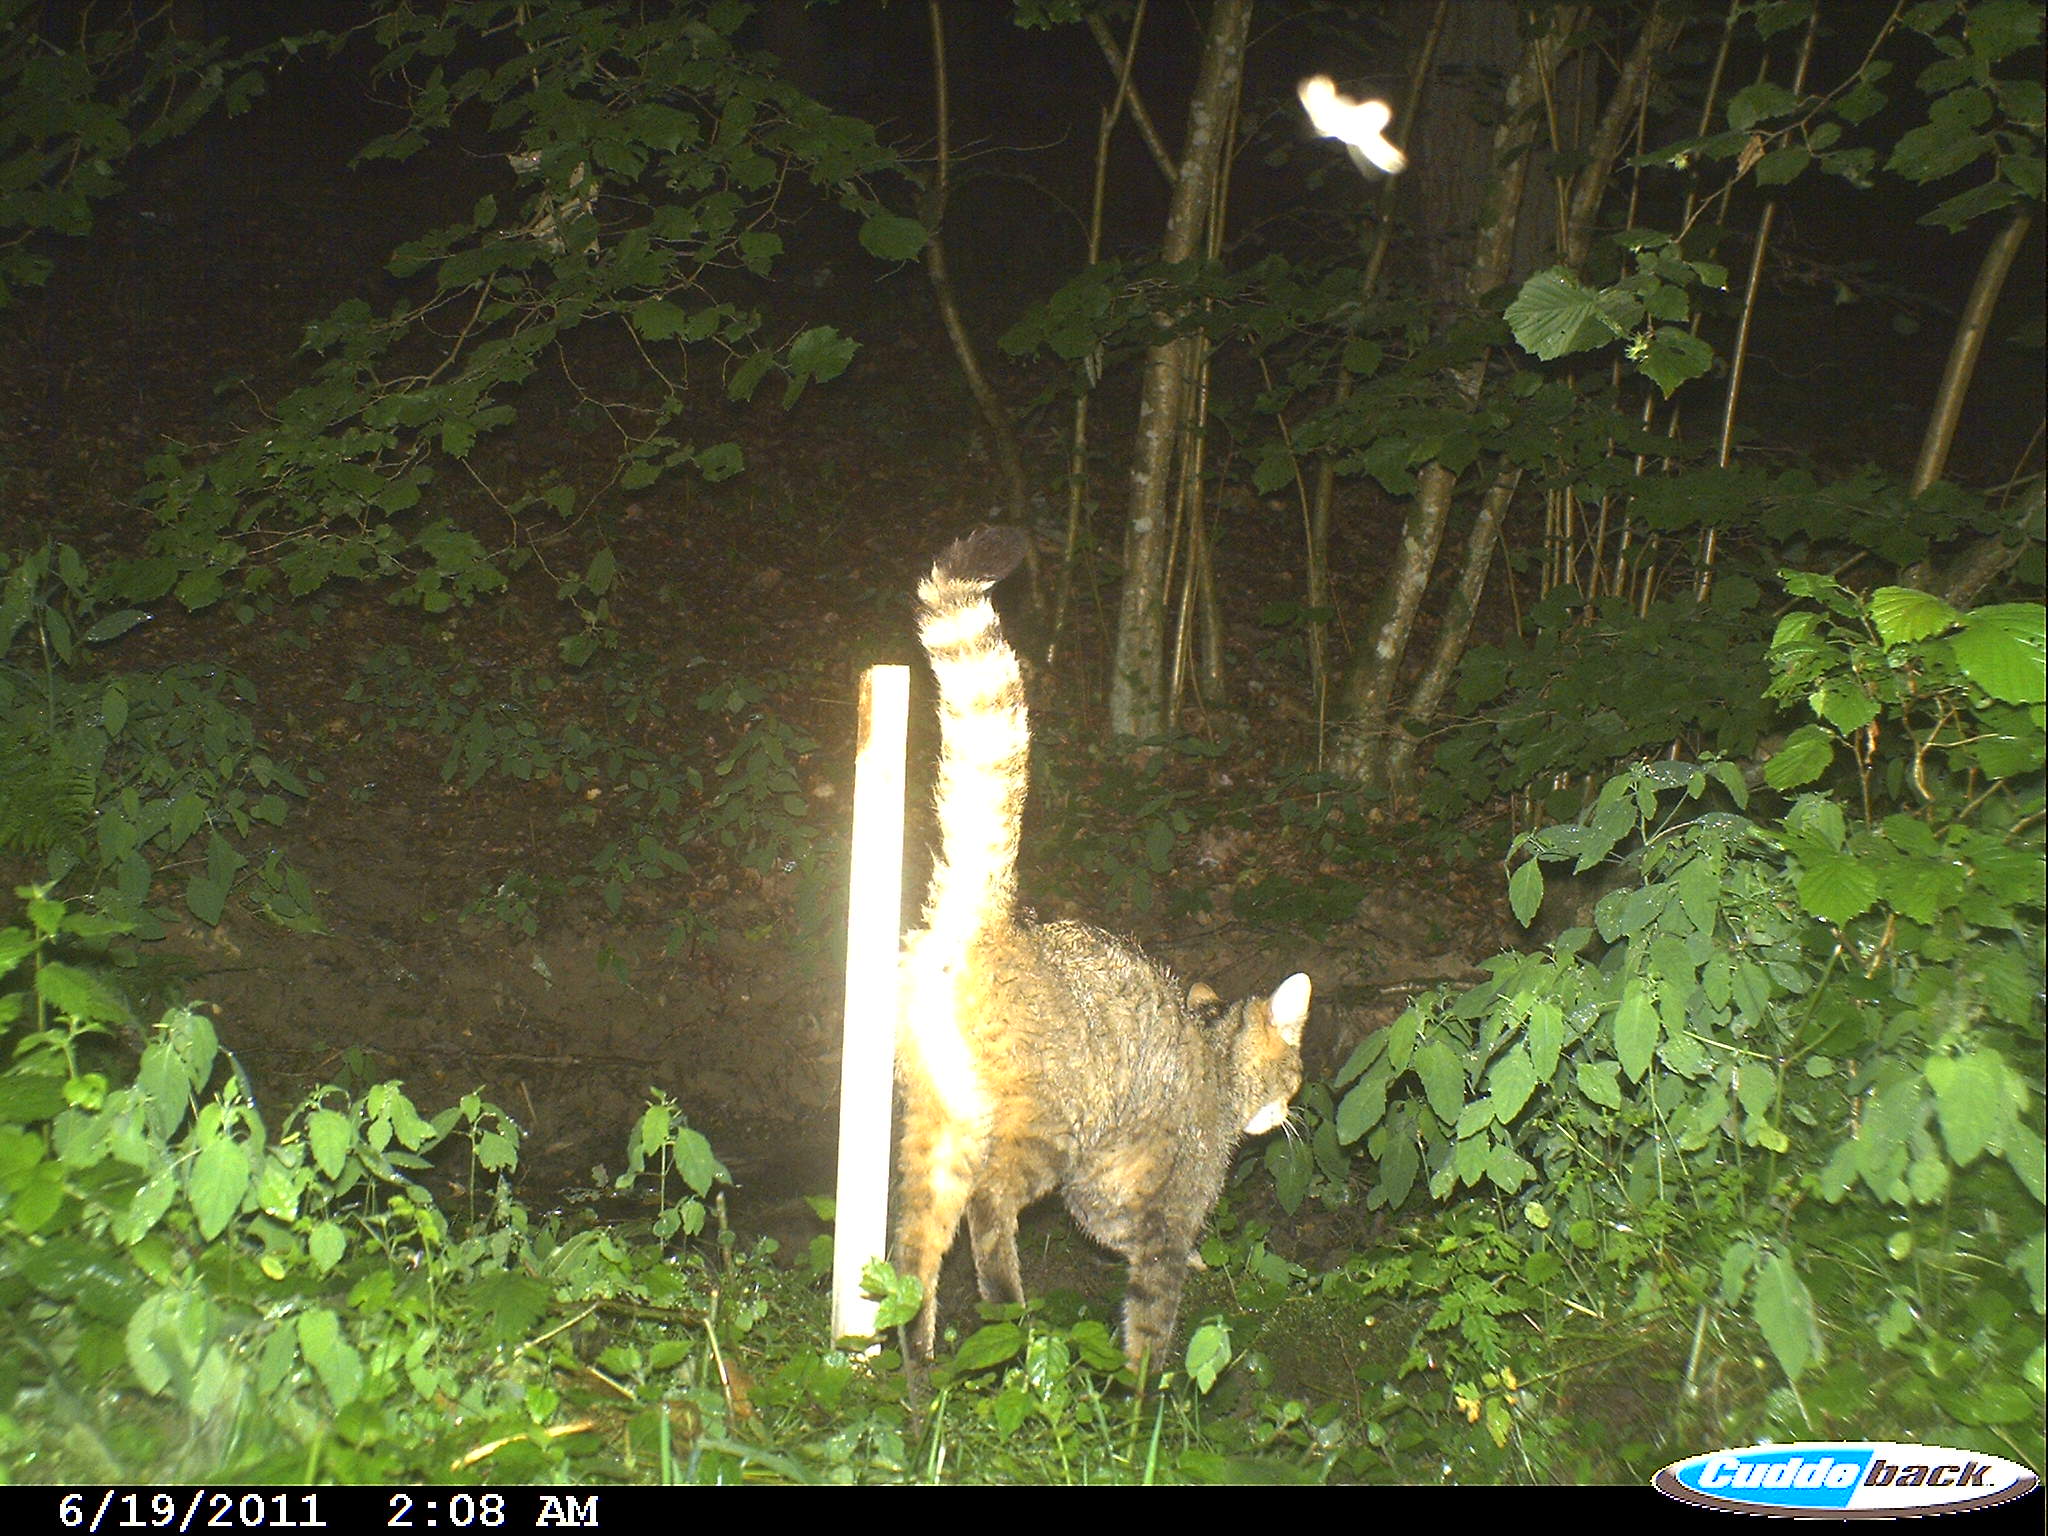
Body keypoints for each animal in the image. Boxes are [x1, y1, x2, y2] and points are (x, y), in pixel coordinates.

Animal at [895, 526, 1312, 1377]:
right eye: (1295, 1073)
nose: (1288, 1112)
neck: (1215, 1060)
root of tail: (991, 921)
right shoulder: (1165, 1199)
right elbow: (1152, 1313)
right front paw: (1145, 1392)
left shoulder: (1107, 1192)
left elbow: (1116, 1232)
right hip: (1046, 1122)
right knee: (988, 1201)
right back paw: (1005, 1306)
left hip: (936, 1123)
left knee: (912, 1254)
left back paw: (919, 1367)